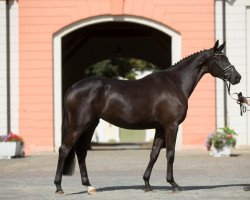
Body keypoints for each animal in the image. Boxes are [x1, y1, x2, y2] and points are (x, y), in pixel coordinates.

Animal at [53, 41, 241, 195]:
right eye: (220, 58)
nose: (237, 77)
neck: (175, 83)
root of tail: (73, 87)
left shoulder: (160, 128)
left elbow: (154, 154)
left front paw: (147, 184)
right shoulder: (171, 126)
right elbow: (170, 154)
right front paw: (173, 184)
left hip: (90, 126)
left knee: (81, 152)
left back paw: (89, 186)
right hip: (78, 126)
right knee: (64, 150)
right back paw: (59, 187)